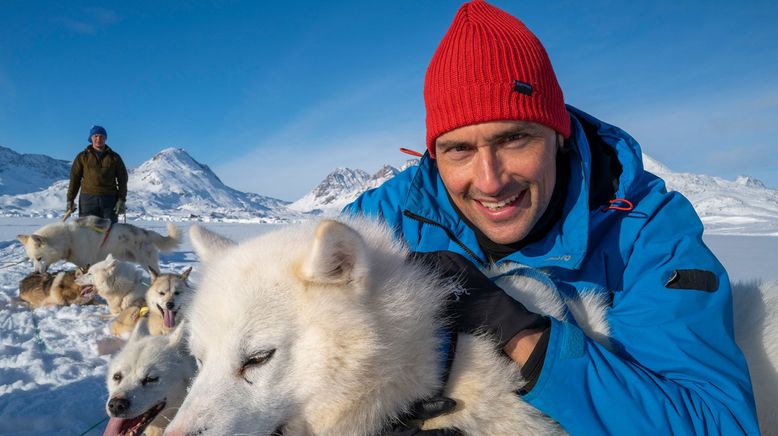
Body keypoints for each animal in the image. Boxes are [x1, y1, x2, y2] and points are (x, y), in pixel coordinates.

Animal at [15, 215, 180, 272]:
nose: (36, 273)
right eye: (31, 260)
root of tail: (146, 232)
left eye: (39, 258)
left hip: (147, 263)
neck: (68, 239)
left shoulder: (87, 263)